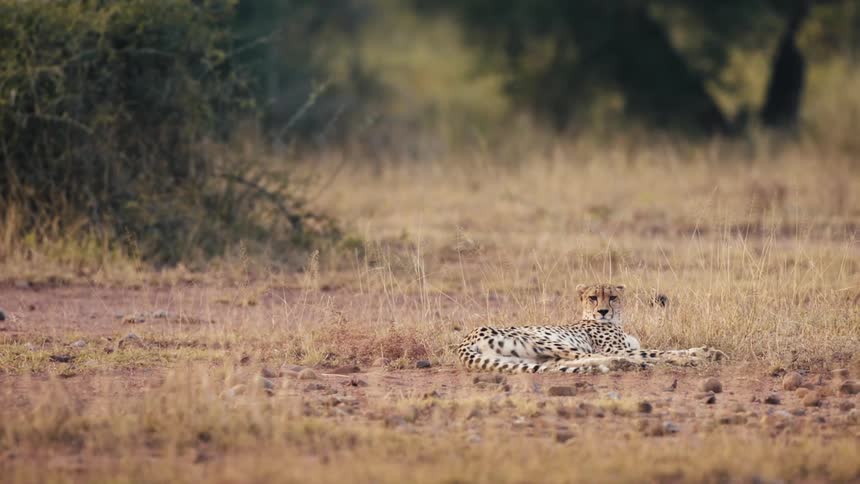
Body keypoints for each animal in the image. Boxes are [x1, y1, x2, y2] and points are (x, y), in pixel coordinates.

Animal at [457, 283, 726, 373]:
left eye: (613, 297)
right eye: (593, 298)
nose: (603, 311)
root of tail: (465, 340)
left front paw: (706, 352)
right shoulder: (613, 347)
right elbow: (660, 352)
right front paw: (698, 355)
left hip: (525, 357)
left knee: (556, 365)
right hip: (542, 339)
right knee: (589, 357)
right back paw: (630, 364)